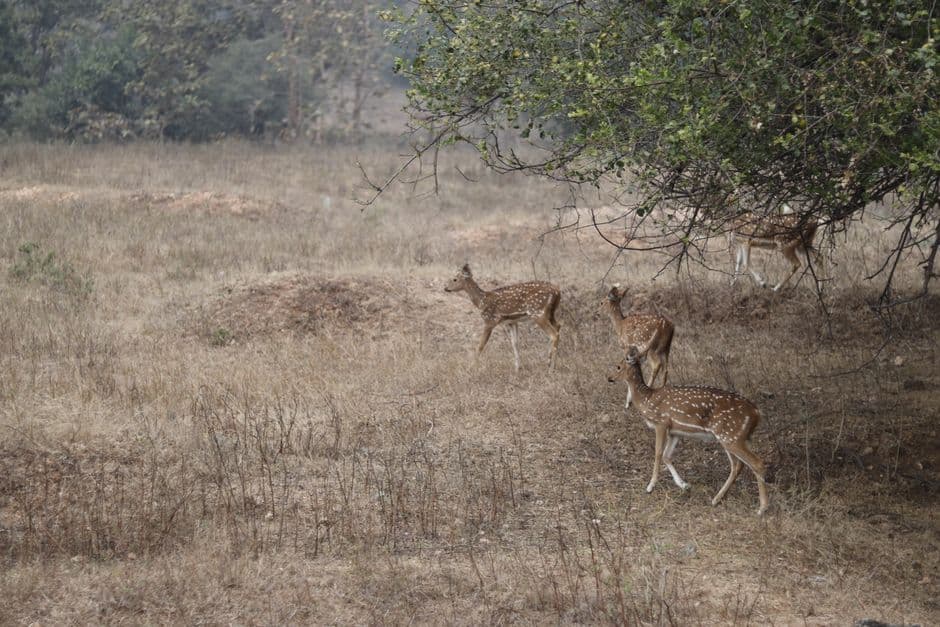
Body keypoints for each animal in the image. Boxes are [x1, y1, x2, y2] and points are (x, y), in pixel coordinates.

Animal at [607, 346, 770, 515]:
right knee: (738, 465)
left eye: (618, 366)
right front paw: (684, 485)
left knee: (757, 463)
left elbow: (658, 453)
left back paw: (762, 508)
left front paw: (650, 487)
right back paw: (716, 499)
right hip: (733, 437)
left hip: (732, 436)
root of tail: (756, 413)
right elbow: (667, 456)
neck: (647, 399)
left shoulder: (661, 423)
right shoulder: (675, 431)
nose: (609, 377)